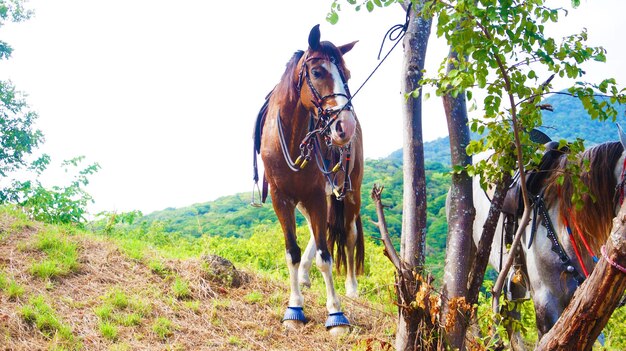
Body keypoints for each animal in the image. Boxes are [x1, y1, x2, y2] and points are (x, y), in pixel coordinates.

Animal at [252, 25, 364, 336]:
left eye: (347, 74)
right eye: (317, 72)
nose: (345, 126)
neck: (291, 138)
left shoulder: (316, 194)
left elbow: (326, 257)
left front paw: (336, 314)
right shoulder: (281, 198)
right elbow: (292, 251)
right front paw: (294, 308)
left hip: (350, 192)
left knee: (348, 233)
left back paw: (351, 287)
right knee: (319, 231)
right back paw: (303, 275)